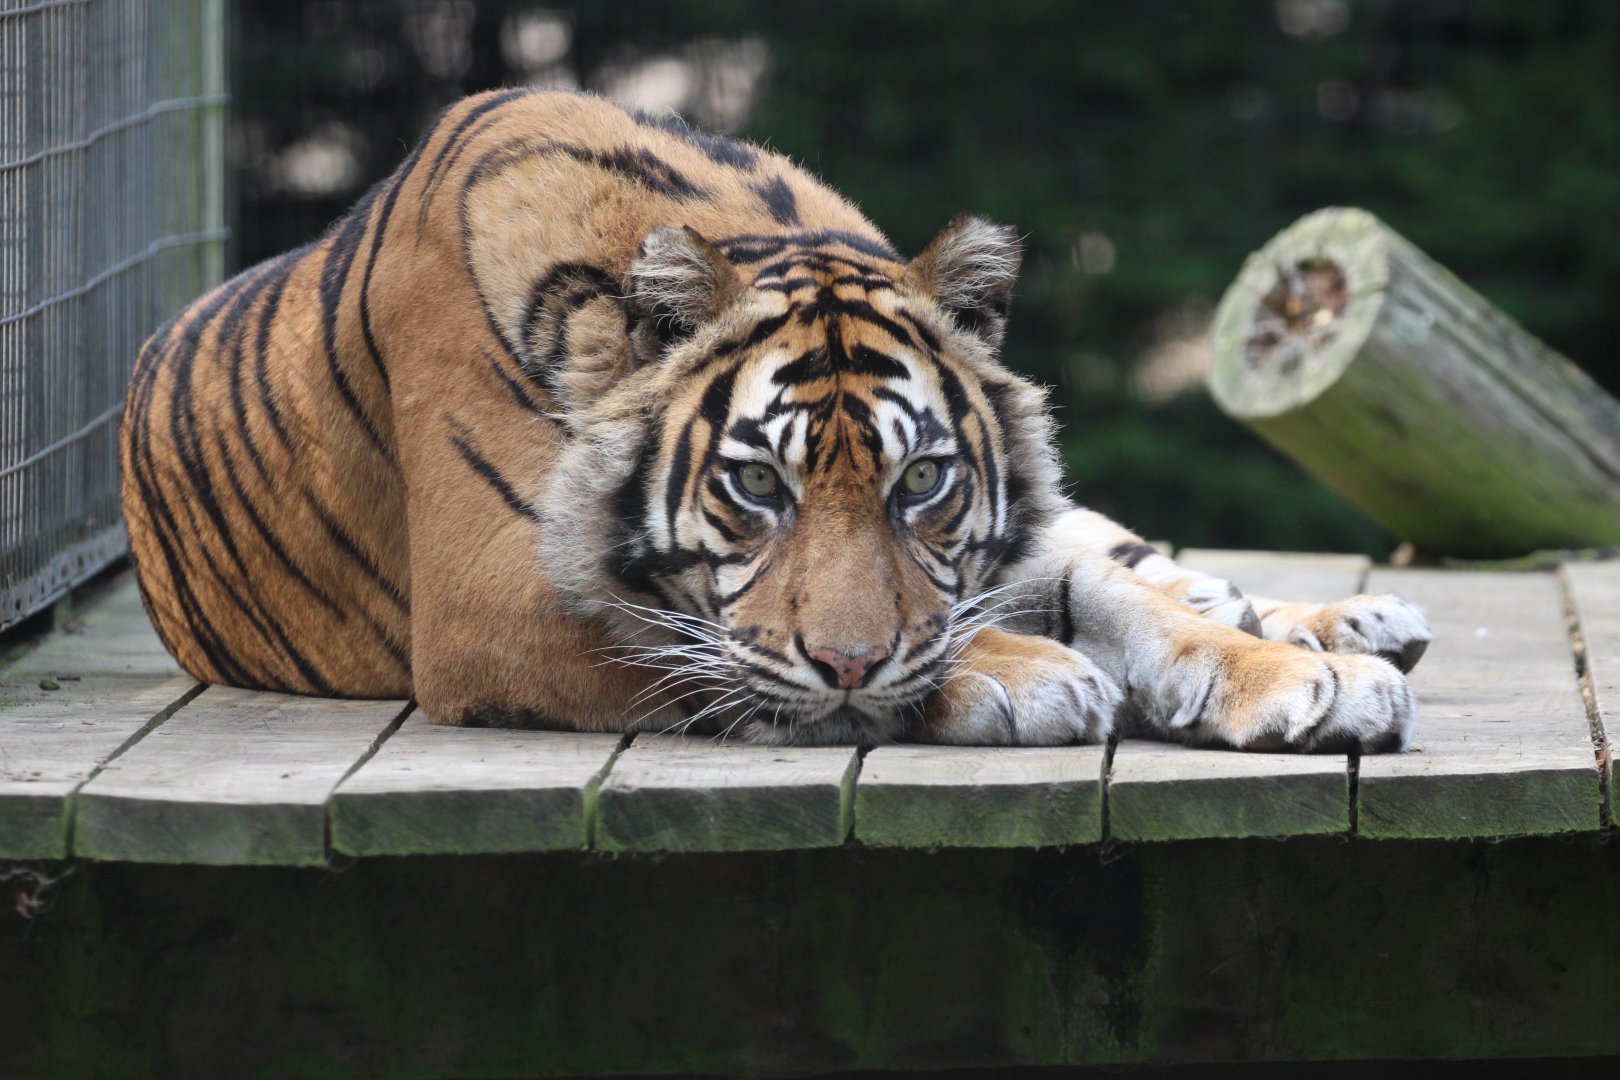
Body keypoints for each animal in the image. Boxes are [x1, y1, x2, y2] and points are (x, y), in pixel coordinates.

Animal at [120, 88, 1432, 751]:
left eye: (921, 483)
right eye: (758, 487)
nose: (850, 659)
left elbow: (1108, 597)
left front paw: (1302, 676)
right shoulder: (491, 597)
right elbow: (712, 645)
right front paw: (1024, 677)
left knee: (1136, 560)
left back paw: (1351, 621)